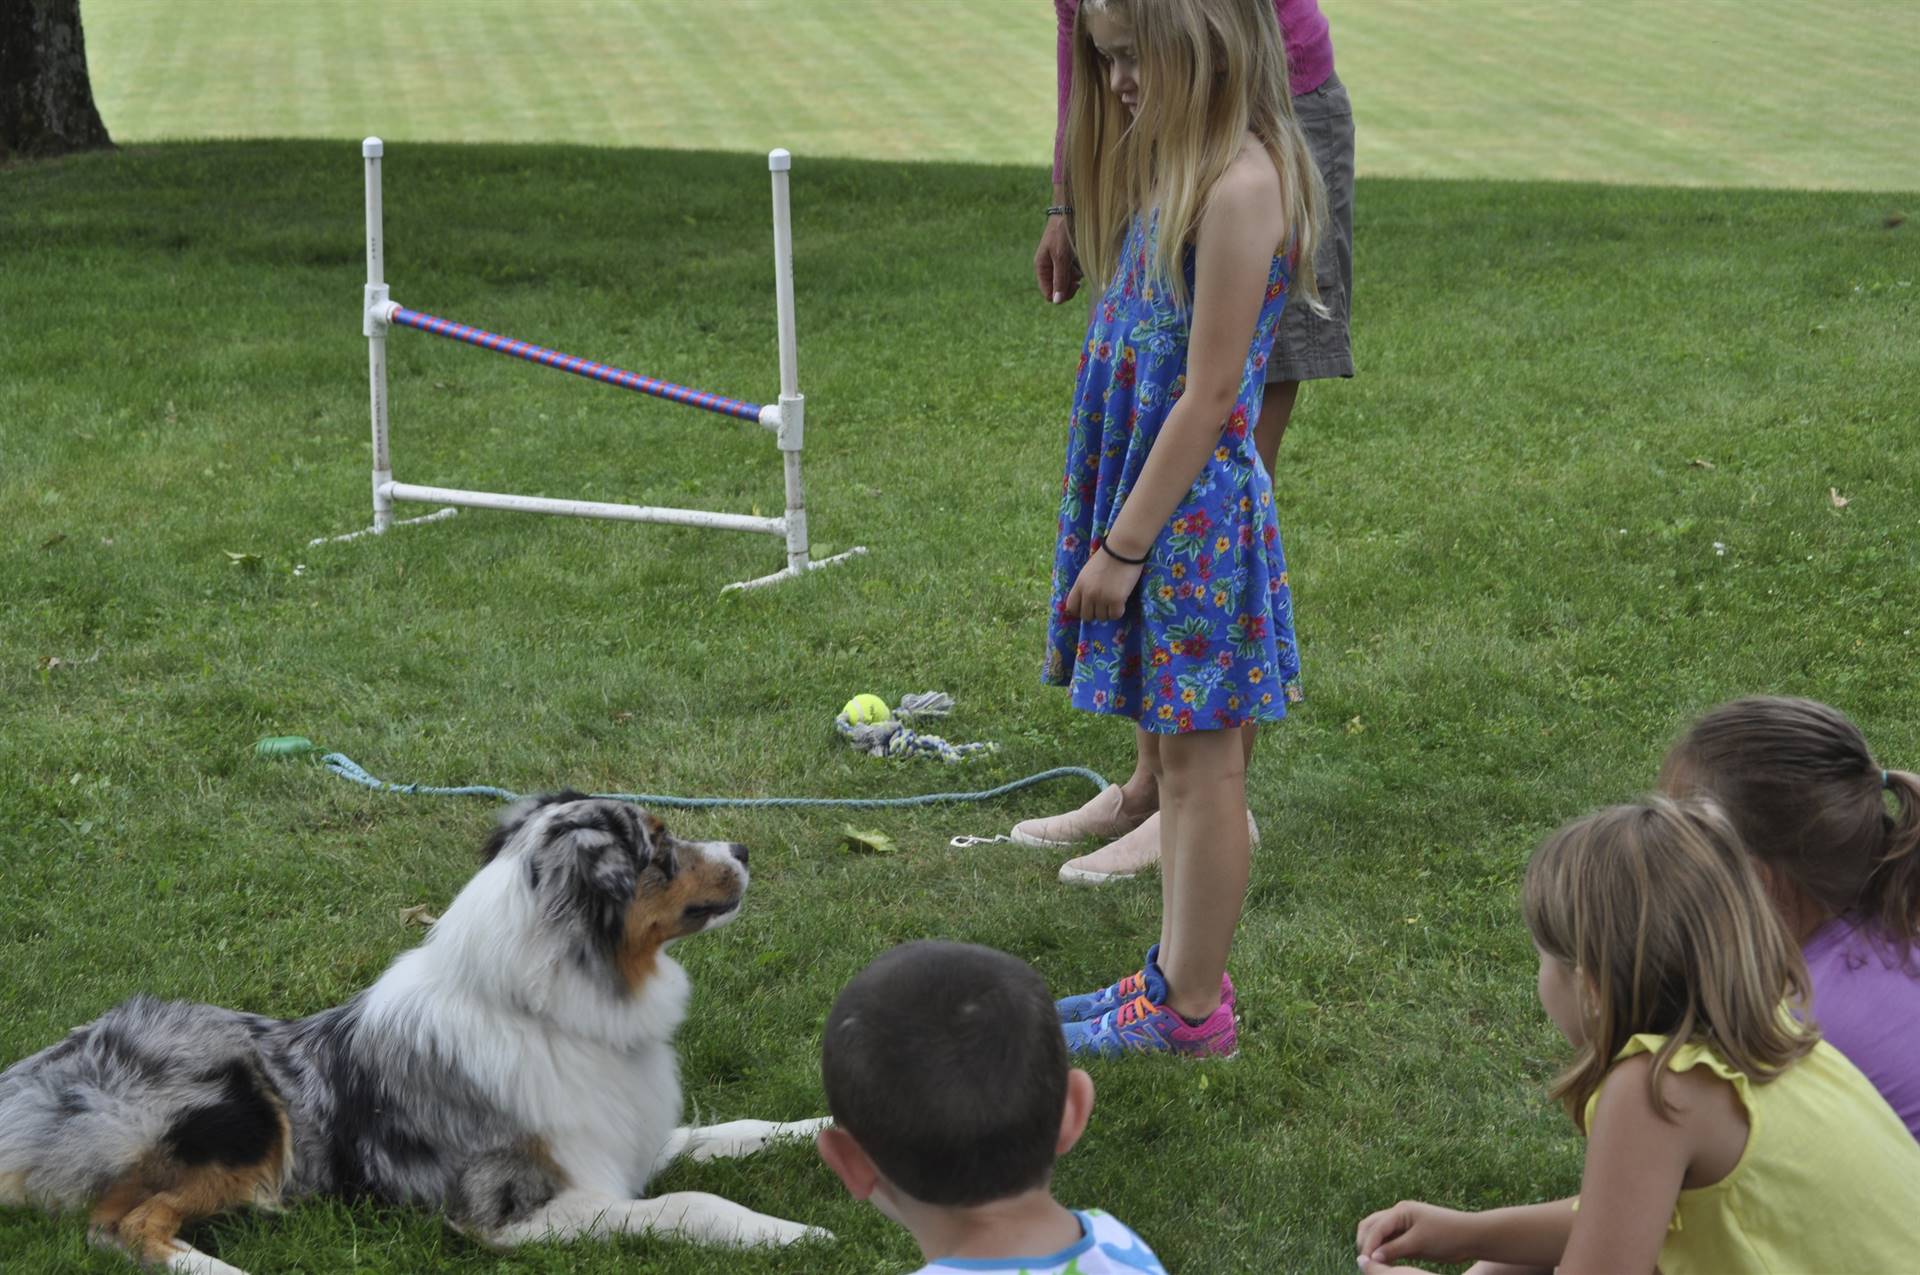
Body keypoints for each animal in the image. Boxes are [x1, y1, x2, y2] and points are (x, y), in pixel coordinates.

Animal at [0, 791, 829, 1267]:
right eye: (659, 850)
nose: (744, 849)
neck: (550, 1010)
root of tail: (26, 1084)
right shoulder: (507, 1213)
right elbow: (690, 1201)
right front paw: (797, 1233)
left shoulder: (628, 1141)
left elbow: (741, 1129)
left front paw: (828, 1130)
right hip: (240, 1112)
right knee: (120, 1226)